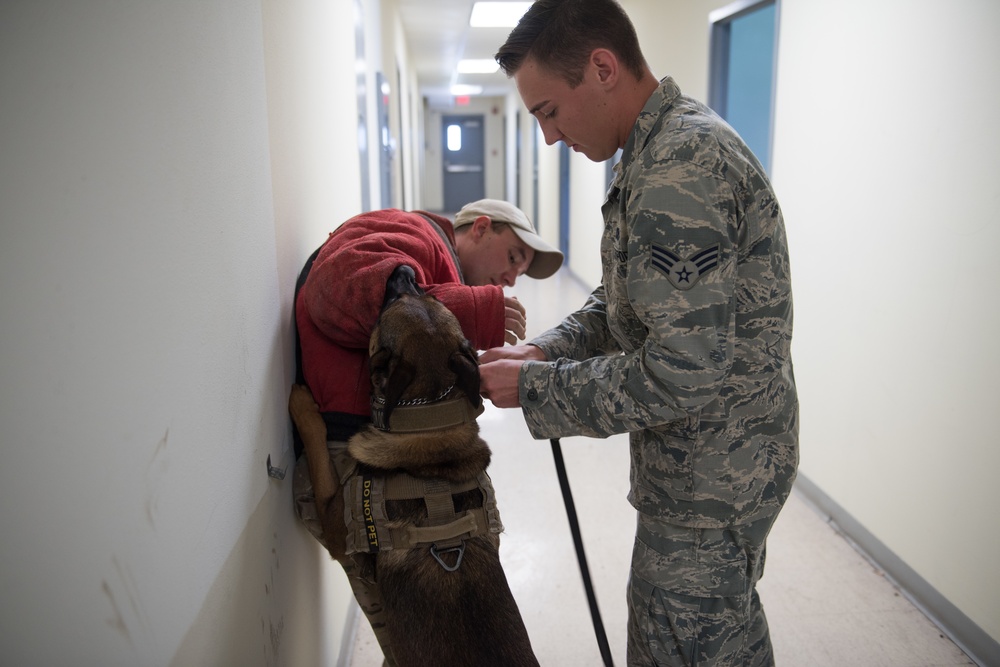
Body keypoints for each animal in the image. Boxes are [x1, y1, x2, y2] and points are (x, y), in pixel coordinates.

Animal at [290, 264, 540, 664]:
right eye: (432, 294)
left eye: (389, 306)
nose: (404, 268)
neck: (429, 424)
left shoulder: (336, 527)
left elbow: (317, 452)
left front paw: (302, 405)